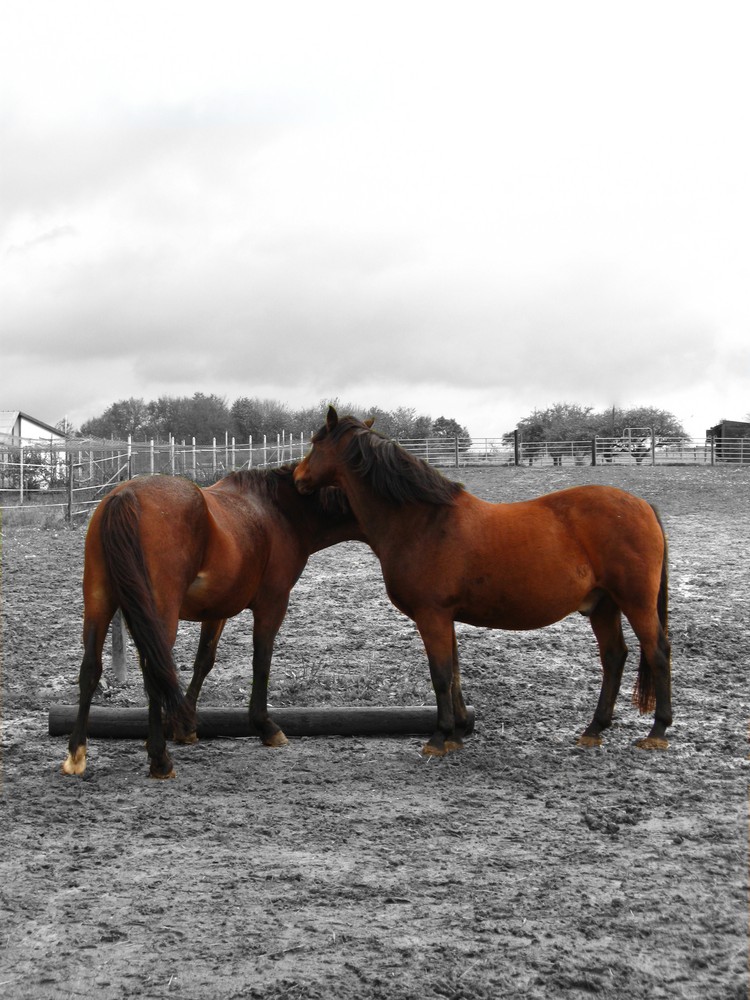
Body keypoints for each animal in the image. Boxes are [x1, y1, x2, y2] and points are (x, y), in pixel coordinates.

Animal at [63, 462, 368, 780]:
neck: (279, 511)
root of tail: (125, 496)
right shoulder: (273, 604)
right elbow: (262, 661)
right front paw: (265, 726)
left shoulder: (216, 610)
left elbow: (204, 661)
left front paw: (185, 726)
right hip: (158, 615)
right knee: (155, 671)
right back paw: (160, 759)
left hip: (99, 602)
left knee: (91, 669)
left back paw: (77, 754)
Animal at [296, 402, 676, 752]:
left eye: (315, 442)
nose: (297, 477)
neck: (423, 521)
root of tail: (642, 505)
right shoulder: (444, 616)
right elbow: (455, 673)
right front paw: (458, 732)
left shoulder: (432, 615)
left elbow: (441, 675)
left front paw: (439, 737)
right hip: (603, 605)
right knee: (614, 657)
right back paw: (595, 728)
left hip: (636, 602)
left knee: (657, 652)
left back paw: (657, 731)